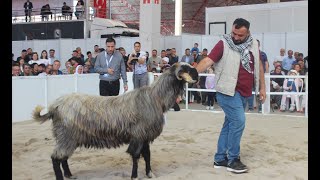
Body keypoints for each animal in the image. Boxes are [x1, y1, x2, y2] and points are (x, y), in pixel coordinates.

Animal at [31, 62, 198, 180]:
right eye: (186, 69)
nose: (197, 74)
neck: (156, 97)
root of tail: (54, 106)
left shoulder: (144, 135)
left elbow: (147, 155)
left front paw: (149, 174)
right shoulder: (138, 135)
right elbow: (136, 156)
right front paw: (134, 176)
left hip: (68, 137)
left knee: (63, 158)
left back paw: (69, 175)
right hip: (66, 135)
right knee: (56, 158)